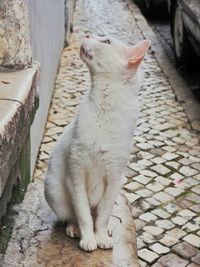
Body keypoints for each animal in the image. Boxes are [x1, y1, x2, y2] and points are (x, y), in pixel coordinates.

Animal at [44, 33, 150, 251]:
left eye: (106, 41)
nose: (87, 34)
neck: (104, 107)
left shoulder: (115, 179)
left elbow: (102, 216)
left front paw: (100, 236)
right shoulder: (76, 175)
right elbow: (83, 214)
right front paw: (88, 239)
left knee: (98, 215)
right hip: (53, 189)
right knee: (72, 214)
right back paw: (74, 228)